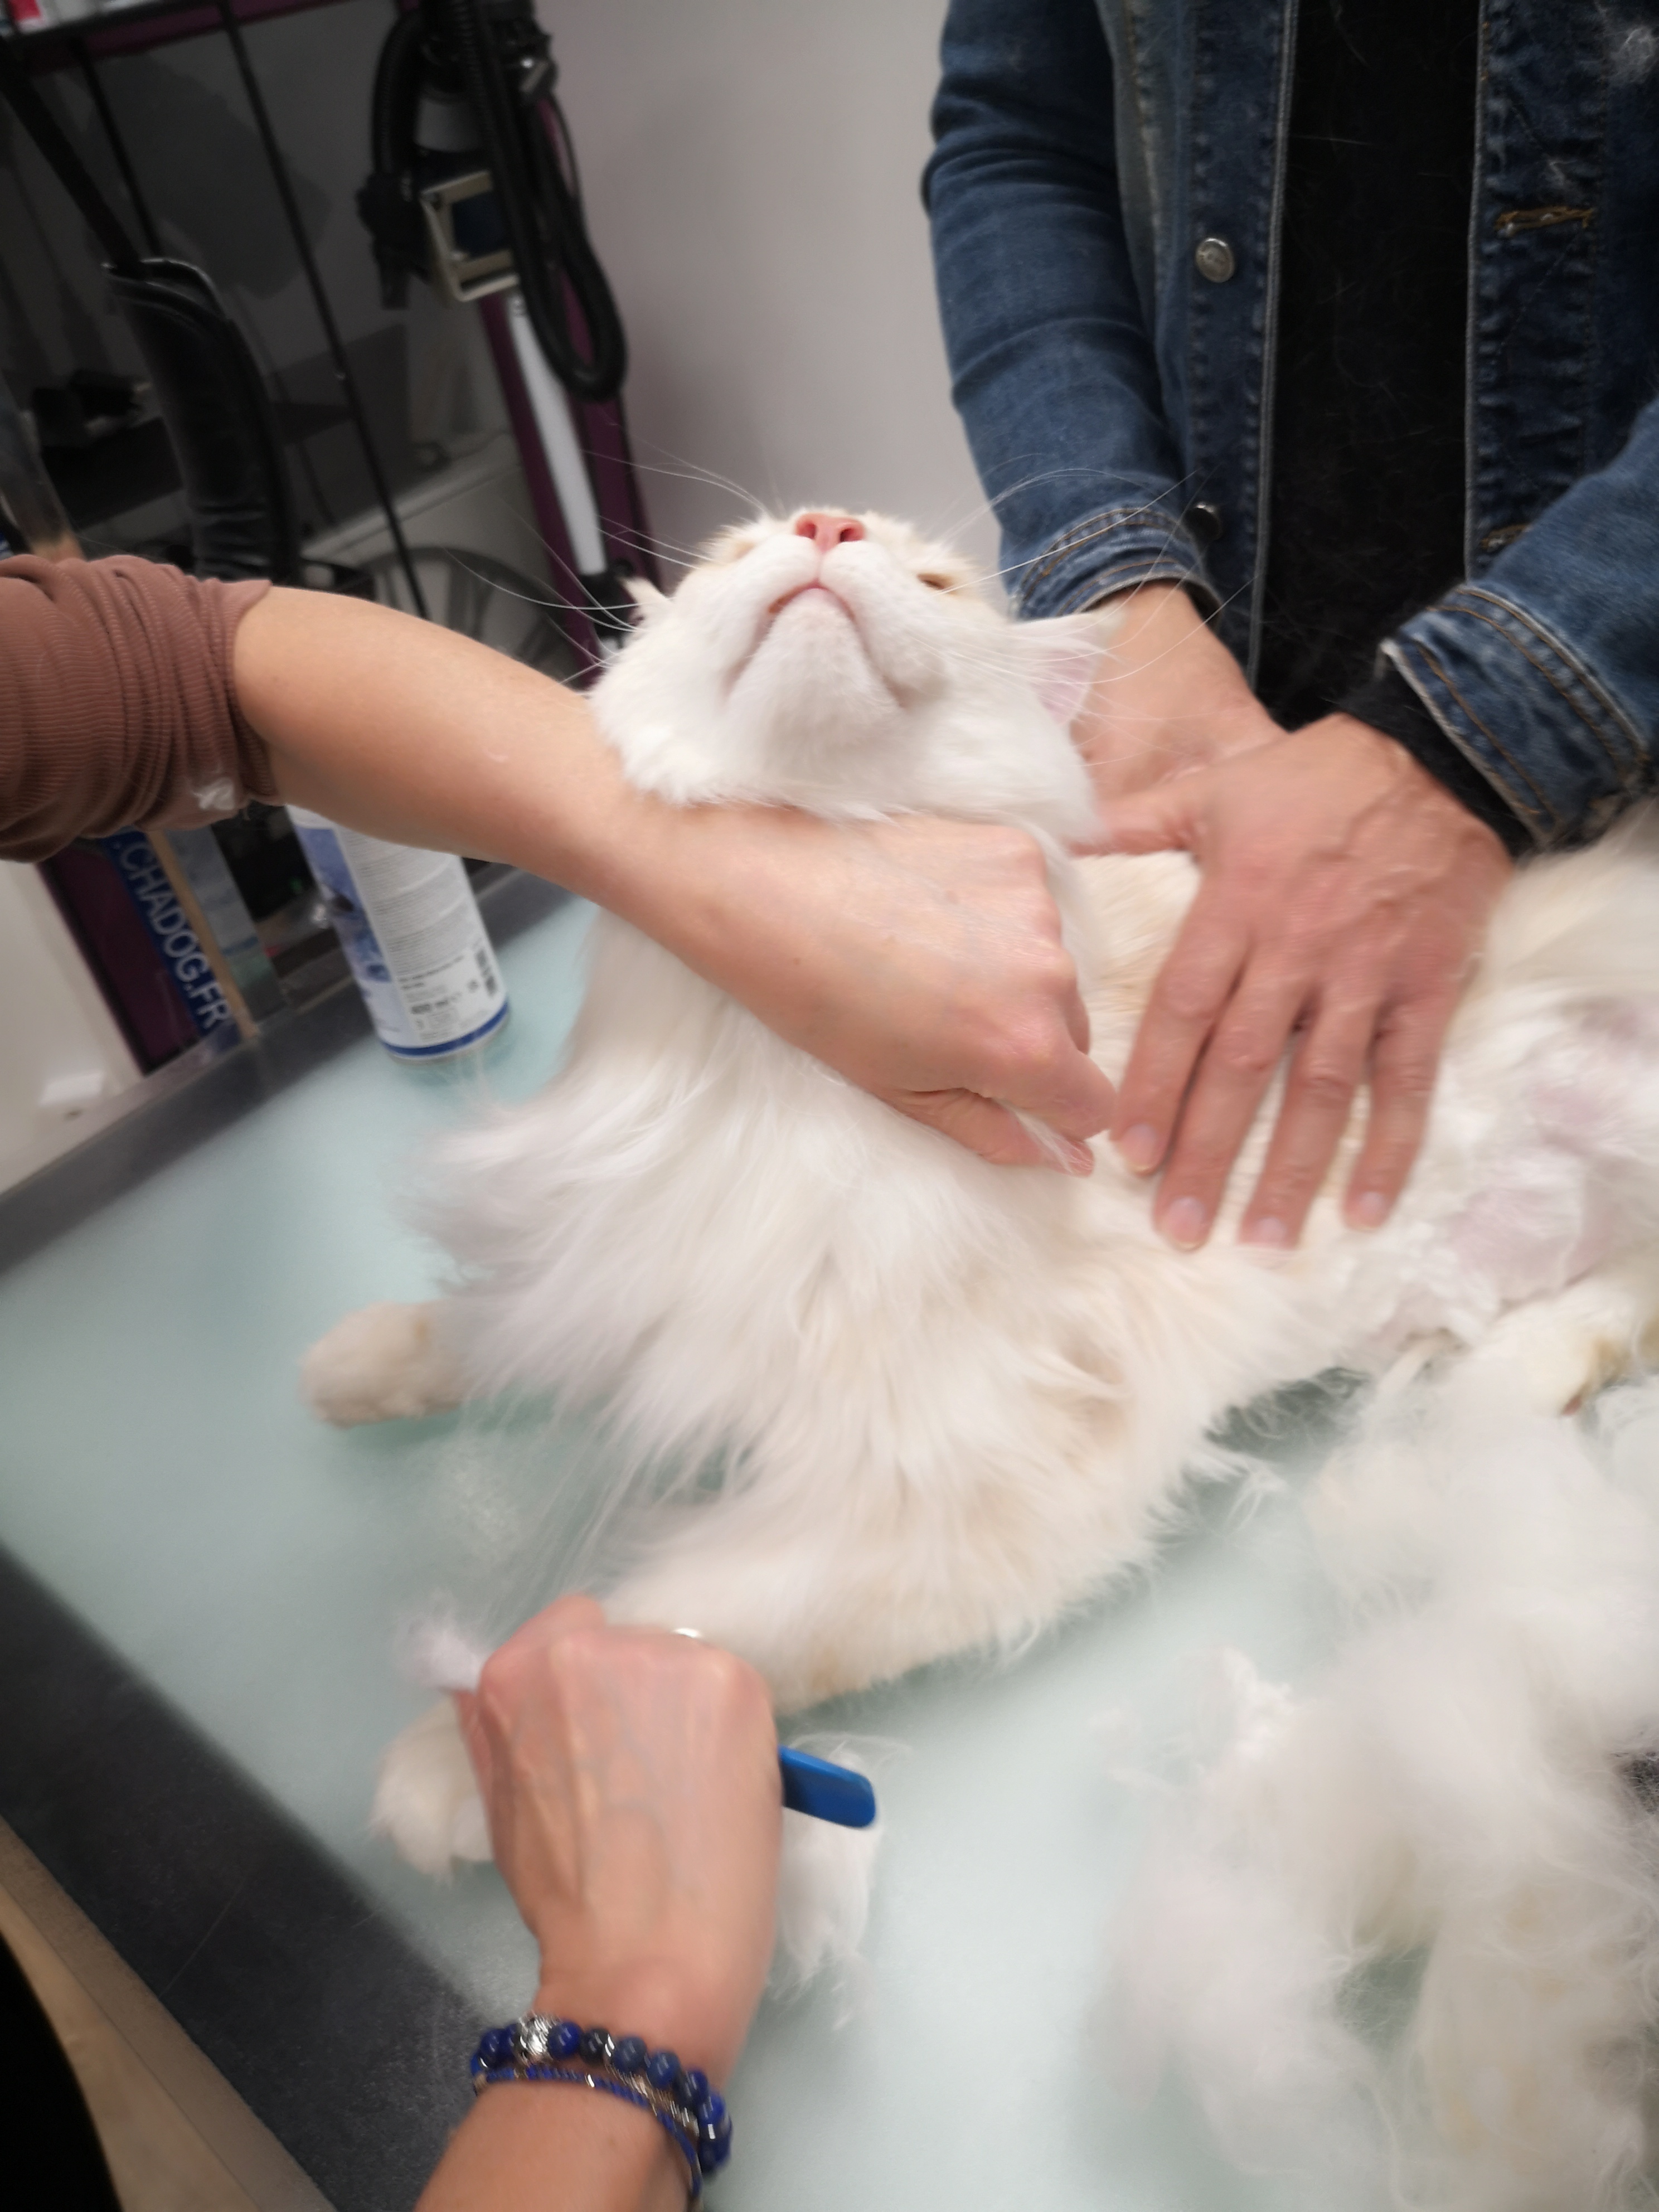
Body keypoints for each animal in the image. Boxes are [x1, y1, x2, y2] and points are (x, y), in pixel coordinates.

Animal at [303, 507, 1659, 1879]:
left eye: (937, 579)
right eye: (735, 550)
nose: (826, 522)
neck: (772, 1053)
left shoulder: (966, 1485)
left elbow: (698, 1614)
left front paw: (480, 1753)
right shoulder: (618, 1247)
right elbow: (486, 1322)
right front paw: (357, 1365)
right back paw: (1514, 1378)